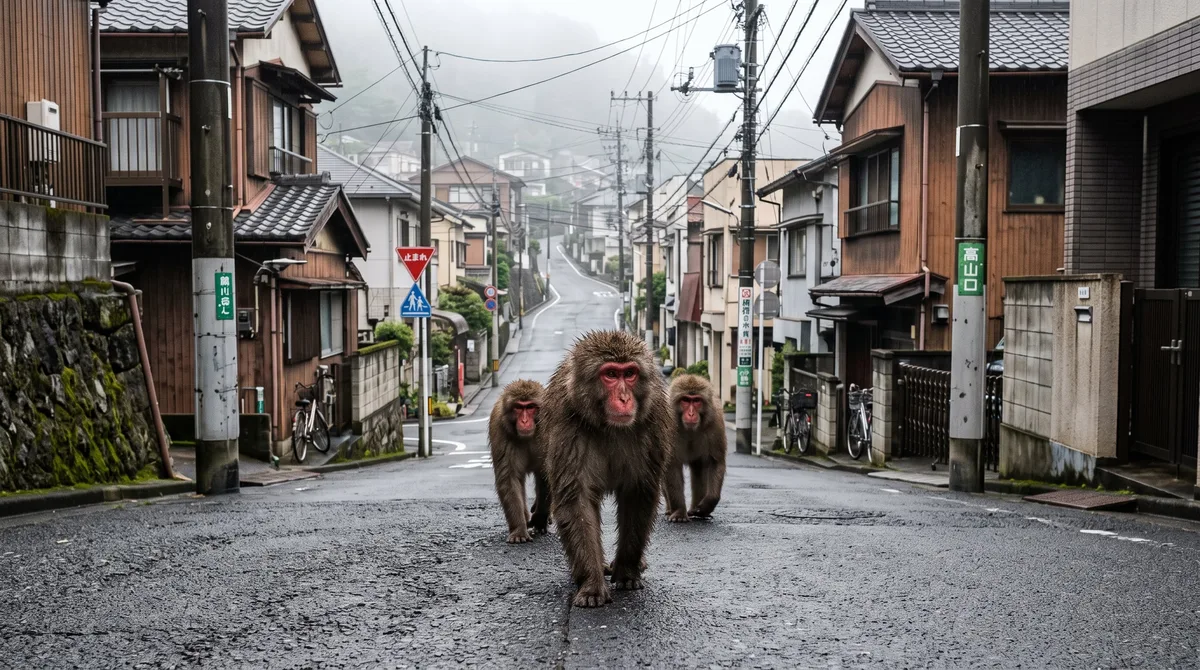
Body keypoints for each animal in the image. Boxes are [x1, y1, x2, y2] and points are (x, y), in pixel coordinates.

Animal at [488, 379, 551, 544]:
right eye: (518, 407)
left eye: (530, 407)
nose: (524, 421)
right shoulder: (500, 430)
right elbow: (509, 478)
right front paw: (519, 530)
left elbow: (547, 475)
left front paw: (539, 519)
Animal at [542, 330, 673, 608]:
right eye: (611, 374)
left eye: (630, 373)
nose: (624, 398)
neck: (609, 427)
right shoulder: (567, 426)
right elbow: (576, 498)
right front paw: (592, 585)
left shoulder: (652, 424)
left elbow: (638, 493)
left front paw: (627, 573)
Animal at [663, 374, 727, 522]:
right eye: (685, 400)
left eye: (696, 400)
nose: (691, 414)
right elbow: (671, 465)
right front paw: (679, 512)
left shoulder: (715, 424)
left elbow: (716, 462)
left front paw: (706, 506)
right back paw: (670, 510)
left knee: (699, 469)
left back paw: (696, 511)